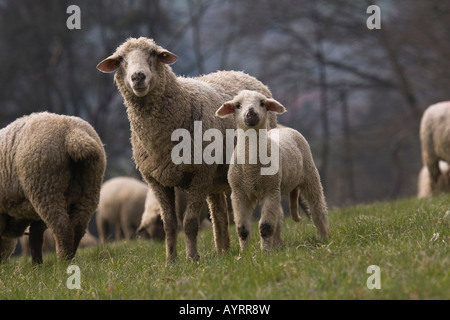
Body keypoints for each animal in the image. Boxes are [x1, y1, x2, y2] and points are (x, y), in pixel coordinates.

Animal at [0, 112, 106, 262]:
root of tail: (73, 134)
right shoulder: (34, 214)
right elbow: (35, 237)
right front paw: (37, 264)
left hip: (46, 189)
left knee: (62, 227)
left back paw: (63, 260)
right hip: (89, 190)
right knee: (78, 226)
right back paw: (70, 257)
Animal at [96, 36, 276, 262]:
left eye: (153, 53)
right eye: (121, 58)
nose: (138, 77)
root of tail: (240, 72)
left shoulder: (200, 174)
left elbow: (189, 222)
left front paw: (192, 257)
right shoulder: (156, 181)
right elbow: (170, 224)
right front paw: (171, 260)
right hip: (215, 178)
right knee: (218, 213)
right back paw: (222, 251)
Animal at [216, 90, 328, 252]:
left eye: (262, 103)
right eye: (238, 105)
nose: (251, 113)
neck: (251, 169)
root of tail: (283, 128)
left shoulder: (270, 190)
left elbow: (266, 226)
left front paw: (265, 252)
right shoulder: (238, 194)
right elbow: (242, 229)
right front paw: (244, 253)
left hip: (309, 174)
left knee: (317, 208)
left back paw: (325, 237)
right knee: (279, 217)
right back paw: (278, 245)